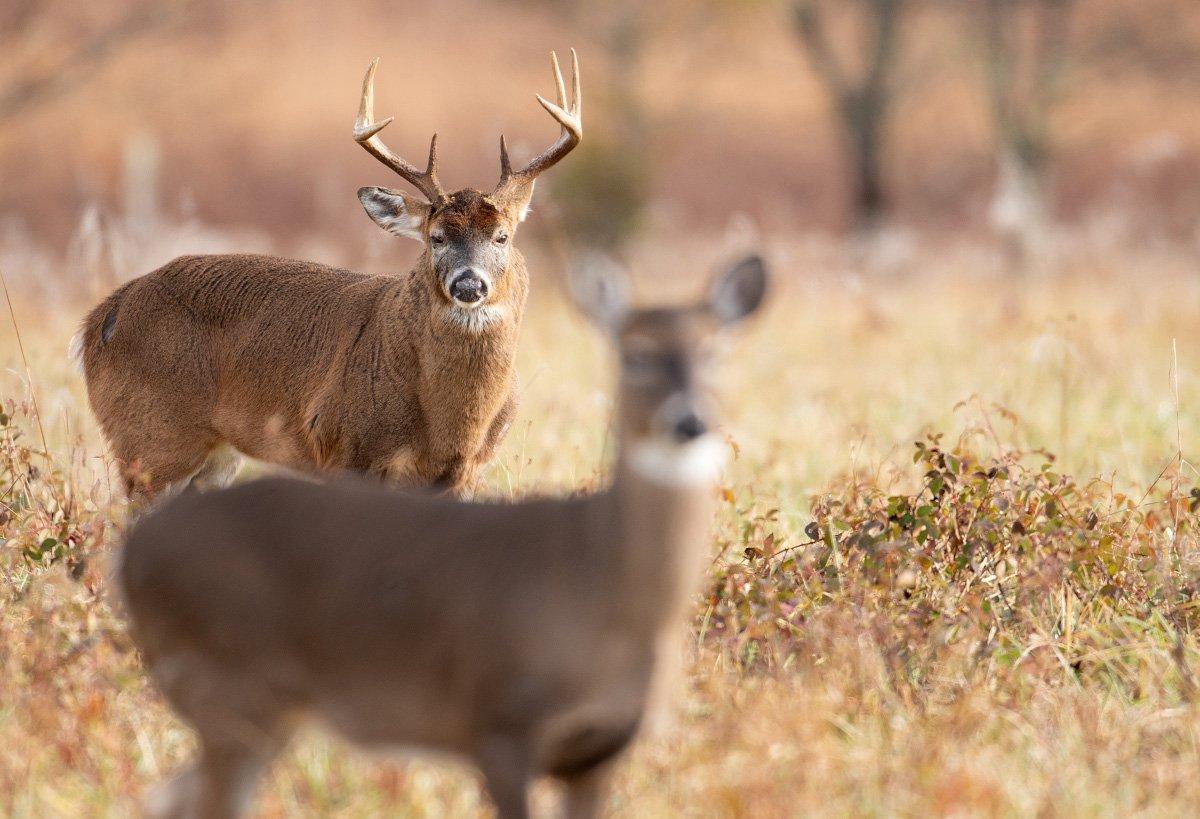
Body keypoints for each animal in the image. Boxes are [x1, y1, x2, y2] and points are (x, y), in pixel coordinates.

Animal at [75, 54, 580, 497]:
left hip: (213, 456)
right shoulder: (344, 446)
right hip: (151, 440)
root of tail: (100, 319)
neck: (449, 428)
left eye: (502, 237)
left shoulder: (468, 472)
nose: (468, 284)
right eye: (435, 238)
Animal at [119, 254, 768, 816]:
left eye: (718, 350)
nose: (689, 421)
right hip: (229, 684)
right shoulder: (499, 722)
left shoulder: (598, 752)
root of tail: (130, 559)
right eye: (634, 353)